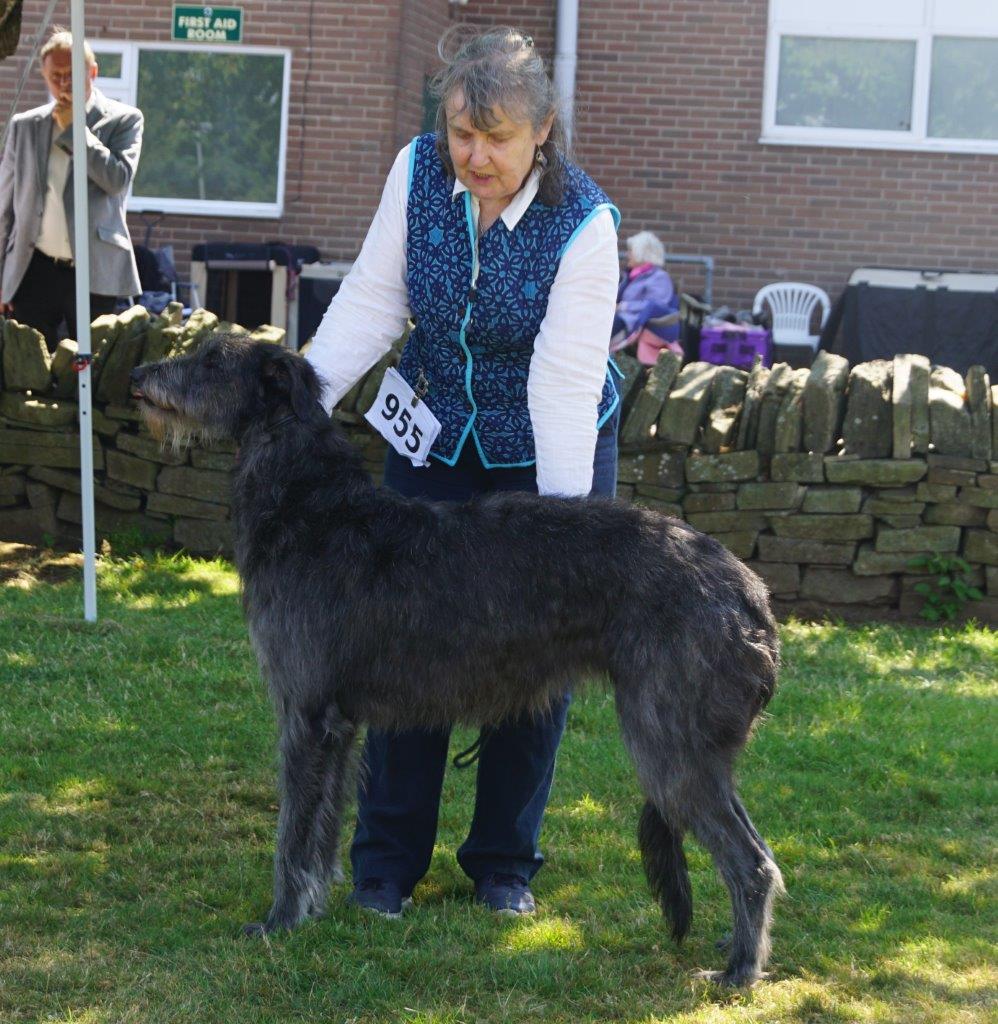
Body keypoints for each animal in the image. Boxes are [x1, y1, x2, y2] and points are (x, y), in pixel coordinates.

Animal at [128, 333, 786, 983]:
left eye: (213, 359)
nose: (137, 375)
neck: (311, 507)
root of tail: (750, 593)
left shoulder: (306, 713)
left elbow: (293, 831)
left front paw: (279, 922)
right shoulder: (337, 723)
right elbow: (321, 827)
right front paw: (312, 909)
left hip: (668, 738)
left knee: (751, 861)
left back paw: (738, 971)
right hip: (695, 744)